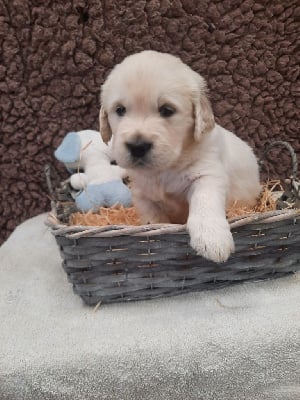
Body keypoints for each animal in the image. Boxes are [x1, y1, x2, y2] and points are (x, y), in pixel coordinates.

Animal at [99, 50, 262, 262]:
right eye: (119, 110)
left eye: (167, 110)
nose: (137, 146)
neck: (165, 169)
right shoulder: (142, 194)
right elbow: (152, 217)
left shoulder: (208, 175)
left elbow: (204, 202)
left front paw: (212, 239)